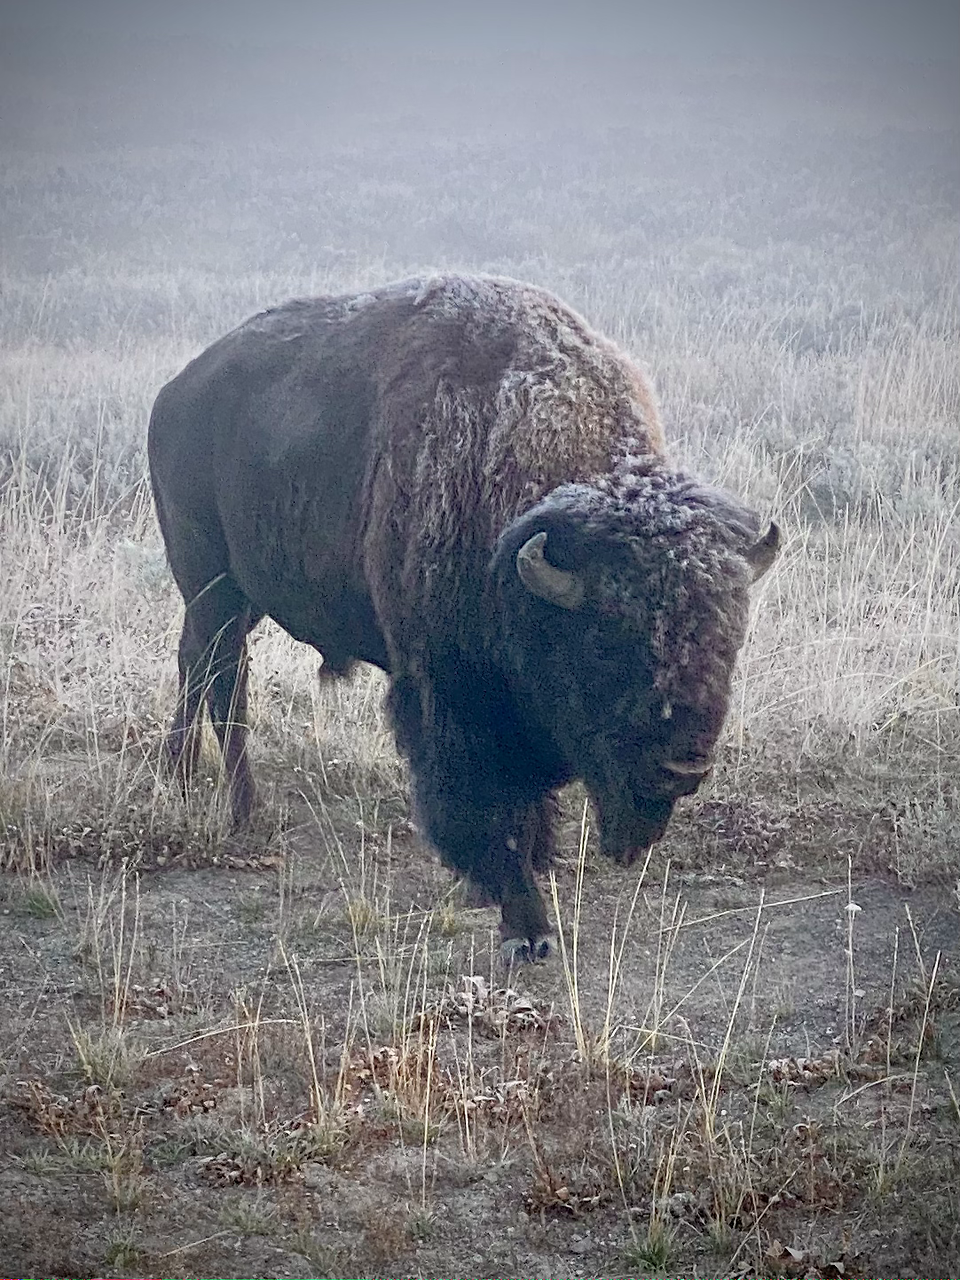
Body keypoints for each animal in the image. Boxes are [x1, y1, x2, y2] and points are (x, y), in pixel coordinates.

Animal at [148, 273, 779, 960]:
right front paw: (526, 928)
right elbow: (489, 812)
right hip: (212, 584)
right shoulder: (452, 702)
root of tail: (175, 393)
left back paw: (182, 780)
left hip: (234, 598)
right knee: (222, 679)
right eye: (609, 643)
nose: (683, 767)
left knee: (196, 665)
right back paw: (240, 808)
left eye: (728, 640)